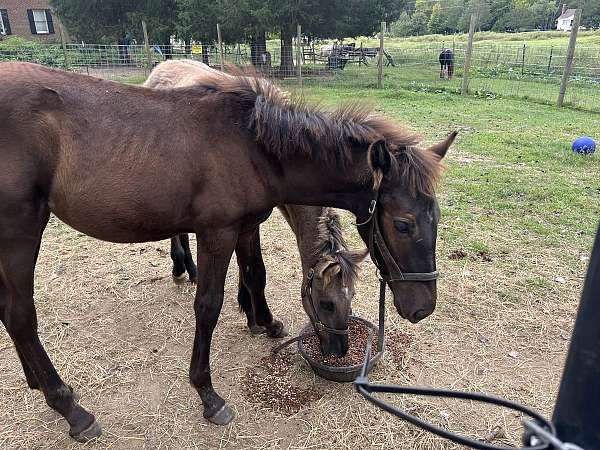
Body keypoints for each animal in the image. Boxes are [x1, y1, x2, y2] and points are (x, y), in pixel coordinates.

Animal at [147, 60, 368, 356]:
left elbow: (248, 268)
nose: (340, 350)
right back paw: (181, 268)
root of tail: (162, 67)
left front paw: (250, 314)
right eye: (327, 304)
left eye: (351, 297)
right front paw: (257, 318)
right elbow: (254, 270)